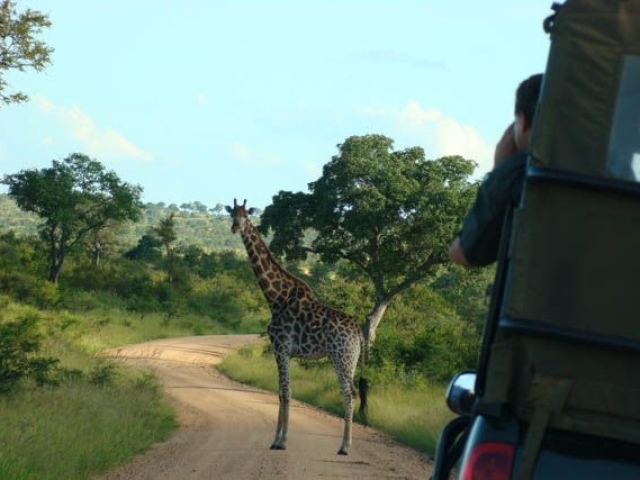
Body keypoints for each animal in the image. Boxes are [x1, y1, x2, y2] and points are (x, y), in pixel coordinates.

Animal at [225, 198, 368, 454]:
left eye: (245, 216)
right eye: (232, 214)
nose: (235, 227)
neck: (275, 297)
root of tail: (359, 332)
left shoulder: (280, 348)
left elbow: (285, 391)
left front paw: (281, 441)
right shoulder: (284, 352)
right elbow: (281, 392)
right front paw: (277, 439)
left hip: (340, 357)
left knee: (349, 394)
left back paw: (344, 446)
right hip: (351, 360)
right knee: (352, 392)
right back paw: (346, 443)